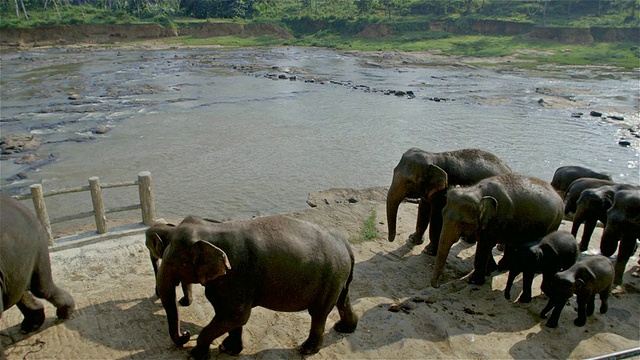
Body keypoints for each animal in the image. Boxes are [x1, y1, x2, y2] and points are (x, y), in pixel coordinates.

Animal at [153, 215, 358, 358]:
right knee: (342, 300)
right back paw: (344, 328)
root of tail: (346, 244)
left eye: (177, 263)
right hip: (338, 278)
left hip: (330, 278)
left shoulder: (237, 274)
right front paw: (228, 349)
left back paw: (306, 350)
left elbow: (236, 315)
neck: (212, 228)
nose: (186, 334)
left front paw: (196, 355)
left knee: (319, 313)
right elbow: (230, 316)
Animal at [430, 173, 564, 288]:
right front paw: (490, 270)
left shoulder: (498, 218)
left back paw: (535, 270)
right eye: (442, 214)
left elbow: (484, 245)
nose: (437, 285)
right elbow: (484, 243)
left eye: (463, 223)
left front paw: (474, 281)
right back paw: (504, 266)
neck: (477, 191)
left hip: (555, 222)